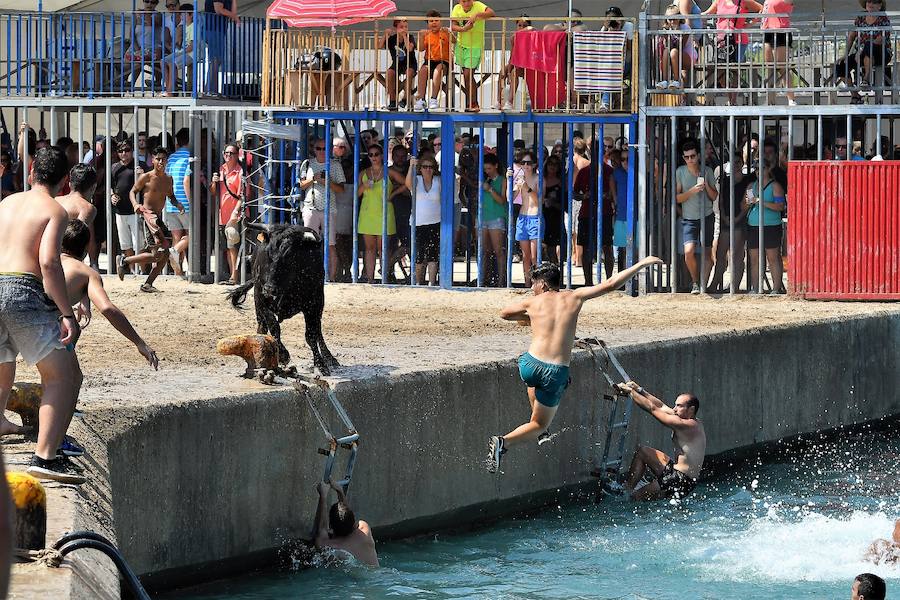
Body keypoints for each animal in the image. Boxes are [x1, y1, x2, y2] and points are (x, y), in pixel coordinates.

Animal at [225, 225, 338, 376]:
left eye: (289, 257)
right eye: (267, 253)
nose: (269, 288)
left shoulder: (313, 303)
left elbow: (311, 335)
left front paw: (320, 365)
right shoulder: (261, 299)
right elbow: (274, 328)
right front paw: (283, 355)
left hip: (319, 304)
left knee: (318, 331)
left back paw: (330, 358)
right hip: (258, 306)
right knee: (262, 328)